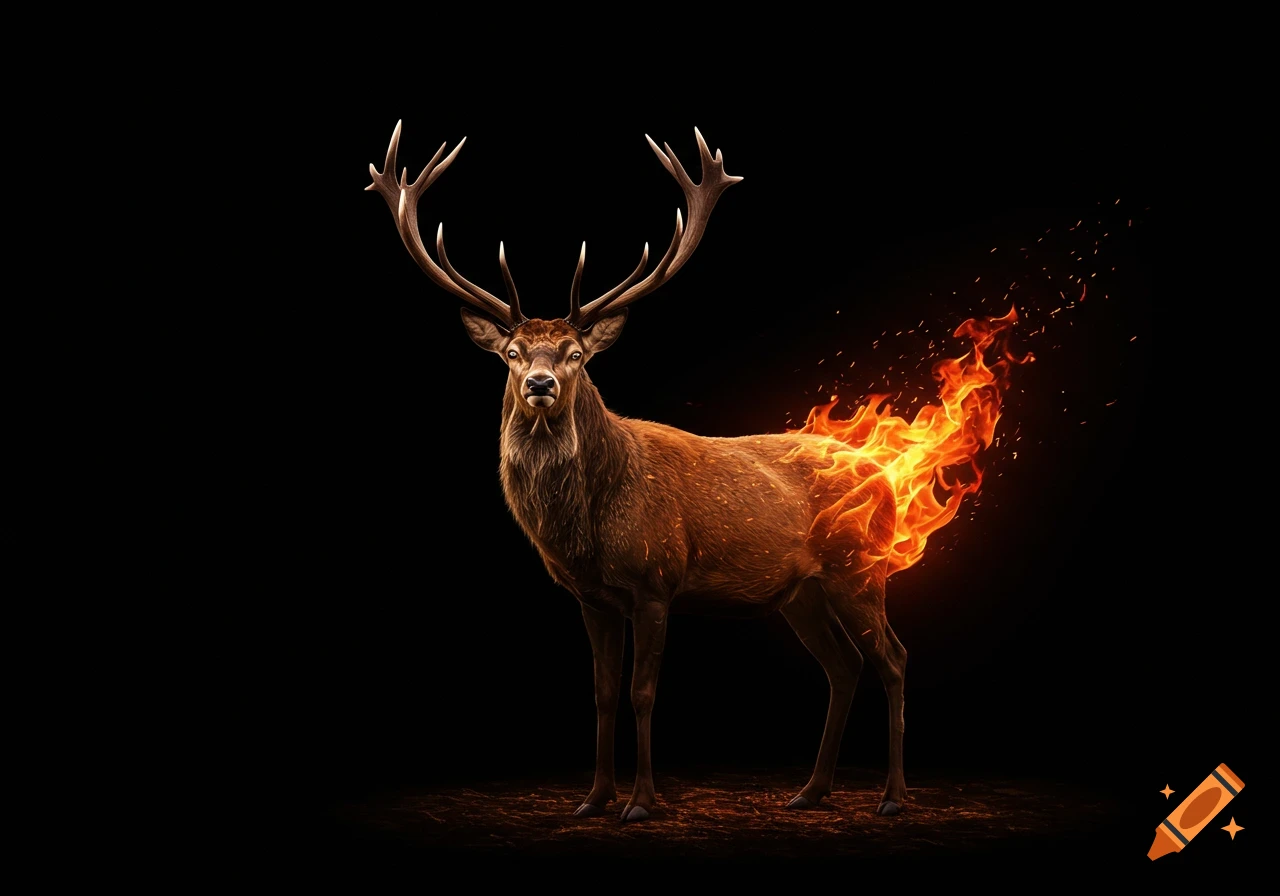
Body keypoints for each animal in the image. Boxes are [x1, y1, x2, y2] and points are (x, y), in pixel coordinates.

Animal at [366, 122, 912, 822]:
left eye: (575, 353)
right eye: (512, 353)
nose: (540, 383)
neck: (588, 530)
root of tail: (887, 474)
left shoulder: (657, 580)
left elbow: (644, 692)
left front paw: (642, 803)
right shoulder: (591, 597)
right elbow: (601, 694)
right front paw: (593, 800)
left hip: (860, 568)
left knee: (892, 659)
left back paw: (893, 798)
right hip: (802, 592)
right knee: (842, 666)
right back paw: (810, 791)